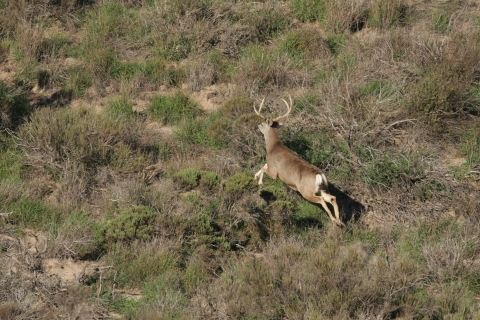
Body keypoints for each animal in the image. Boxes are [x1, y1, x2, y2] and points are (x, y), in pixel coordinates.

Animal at [253, 96, 344, 226]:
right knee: (332, 198)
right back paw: (339, 220)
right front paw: (257, 180)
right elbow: (264, 166)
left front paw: (258, 181)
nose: (256, 126)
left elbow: (263, 167)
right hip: (321, 190)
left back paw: (333, 220)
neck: (273, 147)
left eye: (262, 123)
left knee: (322, 200)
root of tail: (320, 176)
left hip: (306, 191)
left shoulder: (274, 172)